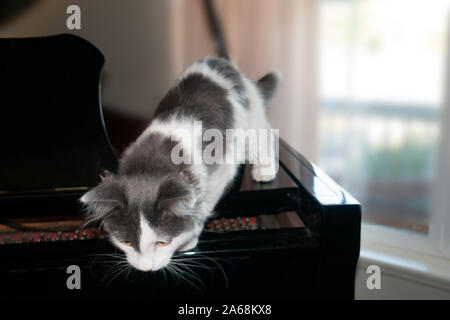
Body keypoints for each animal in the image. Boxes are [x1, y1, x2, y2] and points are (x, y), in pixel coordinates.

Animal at [79, 57, 280, 270]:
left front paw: (189, 237)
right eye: (126, 242)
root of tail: (221, 62)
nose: (145, 268)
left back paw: (265, 170)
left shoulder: (220, 171)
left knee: (266, 136)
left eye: (162, 242)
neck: (153, 164)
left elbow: (204, 206)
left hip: (249, 125)